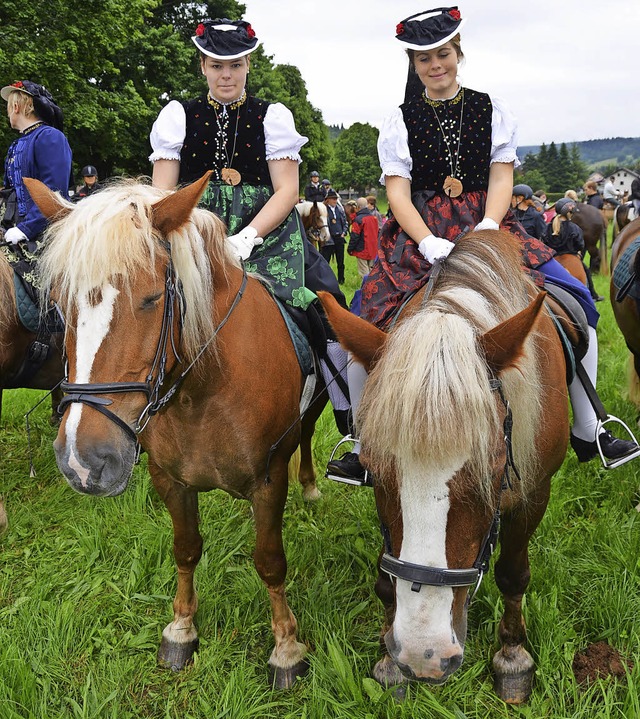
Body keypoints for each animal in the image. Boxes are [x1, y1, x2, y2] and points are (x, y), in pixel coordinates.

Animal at [23, 172, 324, 688]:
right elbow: (185, 549)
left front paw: (287, 648)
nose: (84, 461)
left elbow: (269, 562)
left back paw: (309, 485)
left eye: (152, 298)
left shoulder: (268, 482)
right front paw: (182, 628)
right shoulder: (169, 479)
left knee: (305, 435)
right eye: (60, 303)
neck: (202, 391)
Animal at [318, 229, 568, 704]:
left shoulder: (535, 492)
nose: (424, 654)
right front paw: (388, 658)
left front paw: (512, 657)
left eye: (495, 465)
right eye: (373, 465)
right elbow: (386, 572)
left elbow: (513, 574)